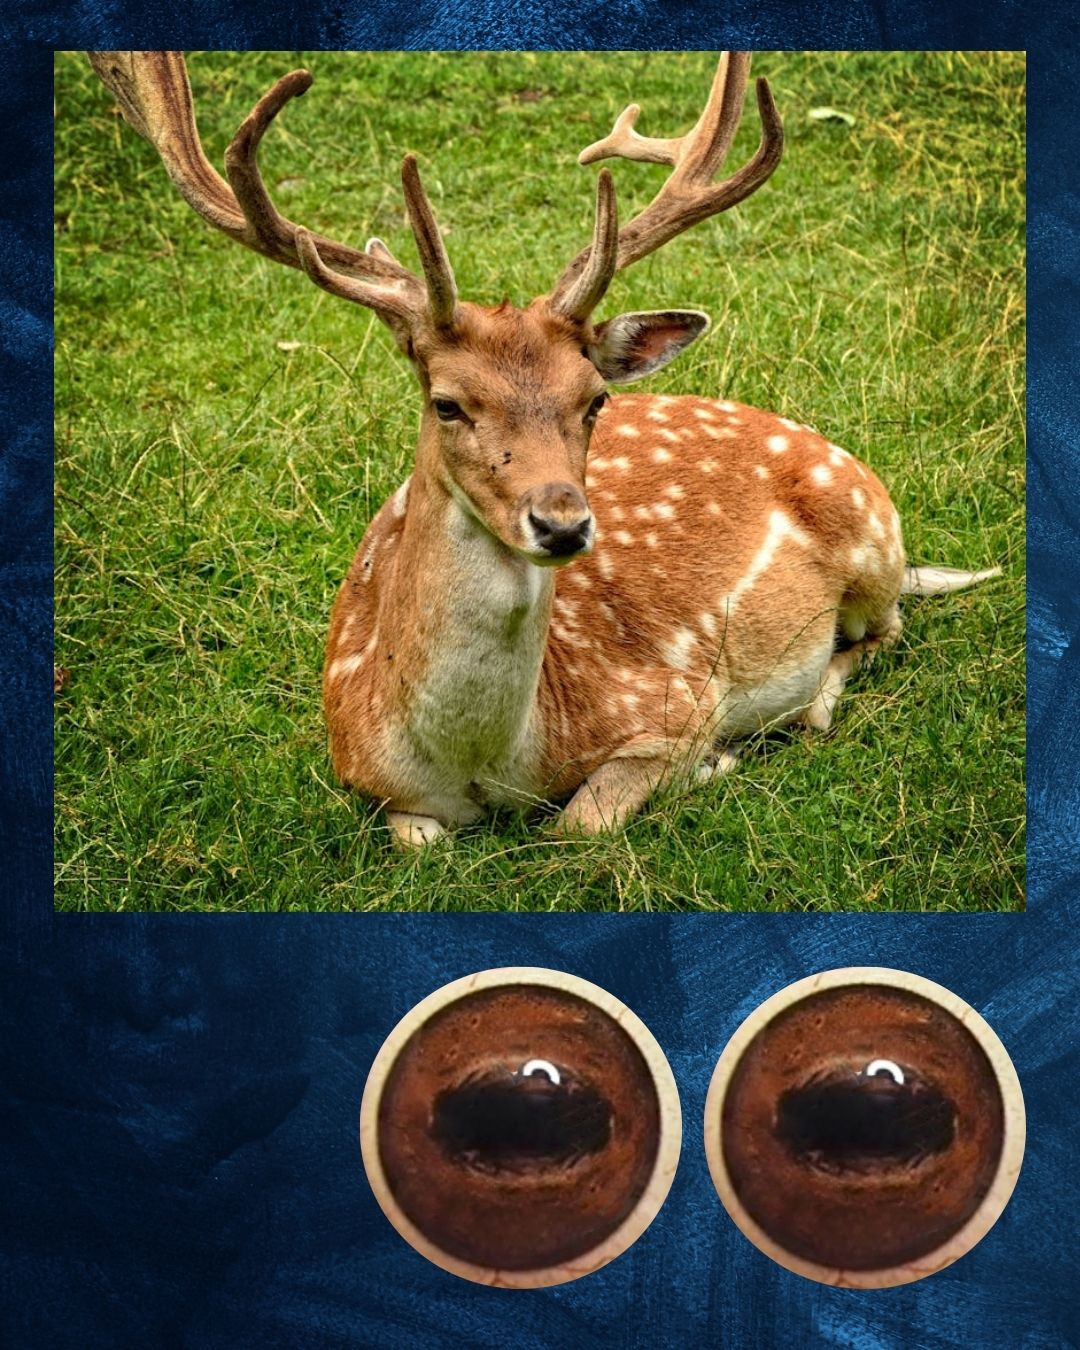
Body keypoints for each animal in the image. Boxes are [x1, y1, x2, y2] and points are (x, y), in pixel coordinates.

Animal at [88, 51, 1000, 848]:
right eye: (447, 402)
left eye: (593, 399)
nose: (562, 523)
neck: (490, 762)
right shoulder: (364, 773)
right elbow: (420, 842)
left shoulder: (674, 699)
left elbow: (579, 824)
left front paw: (713, 766)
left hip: (868, 538)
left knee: (884, 631)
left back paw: (812, 706)